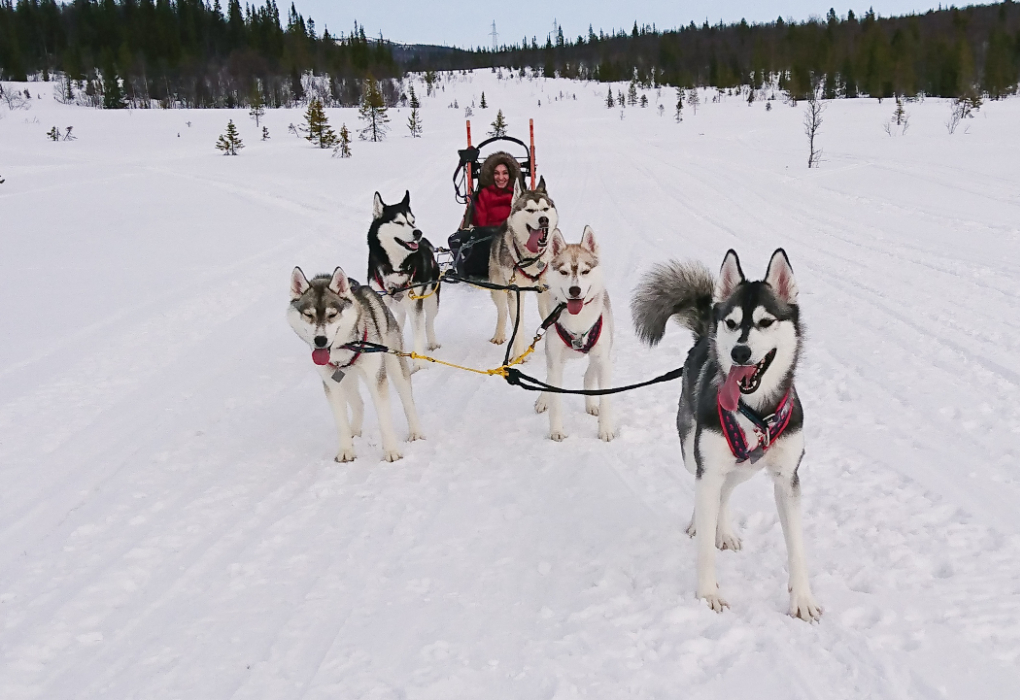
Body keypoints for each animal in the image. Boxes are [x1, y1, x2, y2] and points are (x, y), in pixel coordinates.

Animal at [289, 265, 424, 463]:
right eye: (308, 315)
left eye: (332, 314)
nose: (320, 340)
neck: (343, 348)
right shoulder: (331, 384)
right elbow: (341, 422)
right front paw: (346, 451)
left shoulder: (376, 379)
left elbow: (384, 419)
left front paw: (391, 451)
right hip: (346, 379)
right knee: (358, 402)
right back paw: (354, 430)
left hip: (395, 366)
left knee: (408, 401)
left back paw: (415, 432)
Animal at [371, 186, 442, 373]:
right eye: (398, 222)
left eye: (412, 221)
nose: (418, 232)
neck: (396, 267)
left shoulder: (415, 304)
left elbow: (418, 331)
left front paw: (419, 364)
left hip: (431, 300)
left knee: (428, 322)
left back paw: (432, 342)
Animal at [487, 178, 558, 361]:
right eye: (530, 210)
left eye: (545, 209)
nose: (544, 219)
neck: (532, 258)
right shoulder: (515, 292)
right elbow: (517, 327)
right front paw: (519, 355)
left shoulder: (548, 289)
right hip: (497, 287)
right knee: (502, 310)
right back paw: (499, 335)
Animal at [534, 227, 612, 440]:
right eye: (564, 272)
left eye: (585, 271)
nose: (575, 290)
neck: (577, 324)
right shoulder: (555, 359)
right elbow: (555, 401)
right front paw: (556, 431)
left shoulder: (603, 358)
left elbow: (605, 399)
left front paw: (605, 429)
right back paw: (543, 399)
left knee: (589, 374)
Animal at [628, 250, 820, 624]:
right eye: (732, 323)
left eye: (764, 322)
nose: (740, 353)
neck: (755, 411)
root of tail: (704, 335)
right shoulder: (708, 465)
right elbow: (704, 547)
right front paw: (707, 595)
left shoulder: (787, 478)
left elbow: (798, 548)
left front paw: (802, 599)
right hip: (694, 453)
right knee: (707, 489)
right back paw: (700, 524)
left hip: (745, 467)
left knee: (726, 492)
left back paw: (724, 529)